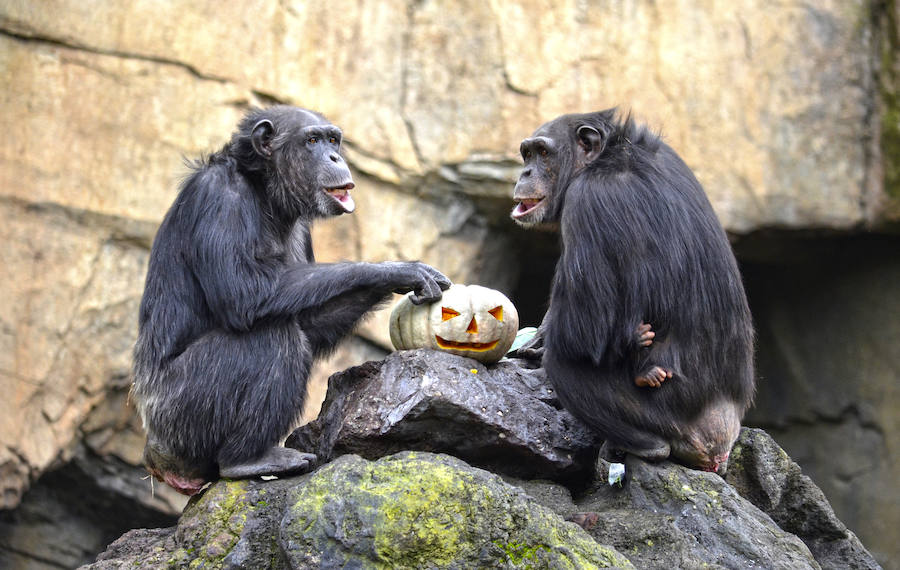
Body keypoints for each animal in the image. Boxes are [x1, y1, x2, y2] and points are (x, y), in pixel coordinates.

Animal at [133, 106, 450, 492]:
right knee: (271, 337)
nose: (335, 157)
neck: (264, 191)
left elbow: (309, 322)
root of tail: (158, 460)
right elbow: (245, 293)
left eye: (332, 140)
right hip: (179, 415)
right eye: (312, 140)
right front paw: (396, 270)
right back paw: (248, 459)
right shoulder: (220, 198)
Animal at [510, 107, 756, 470]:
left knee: (564, 361)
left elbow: (584, 332)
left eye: (542, 152)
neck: (607, 157)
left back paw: (644, 446)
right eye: (527, 154)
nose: (525, 172)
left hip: (672, 418)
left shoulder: (588, 200)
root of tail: (723, 434)